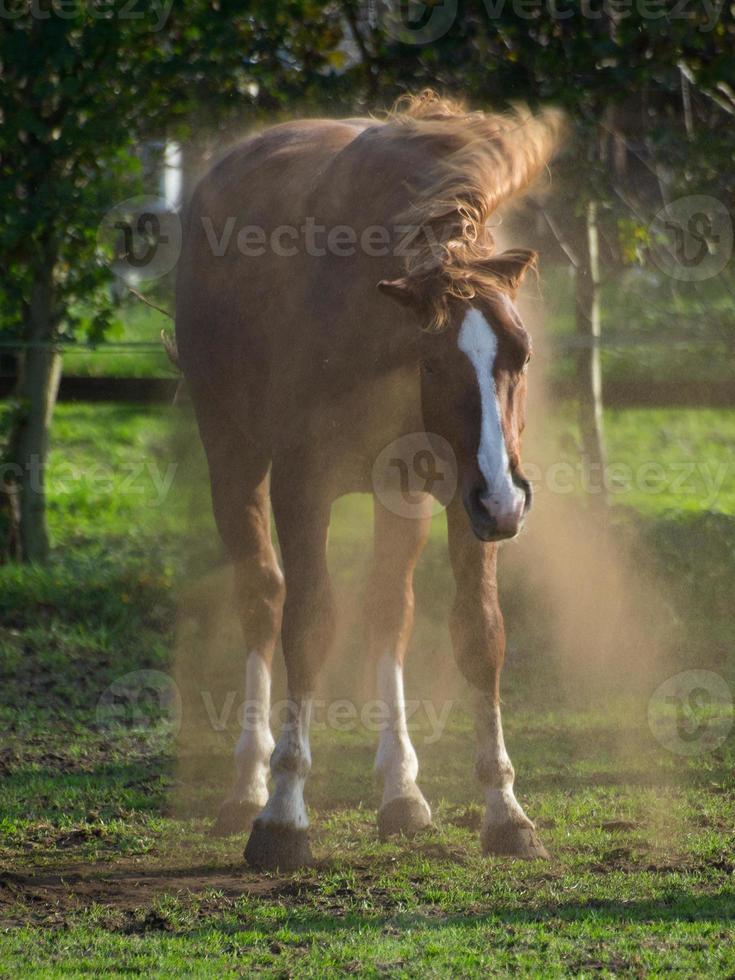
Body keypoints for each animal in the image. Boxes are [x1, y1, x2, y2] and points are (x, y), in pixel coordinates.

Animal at [174, 92, 564, 872]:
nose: (507, 500)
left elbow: (478, 632)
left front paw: (504, 809)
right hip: (232, 456)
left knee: (389, 609)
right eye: (435, 361)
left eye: (521, 353)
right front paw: (283, 811)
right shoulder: (301, 487)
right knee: (261, 596)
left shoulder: (461, 500)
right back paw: (246, 785)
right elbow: (308, 625)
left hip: (407, 498)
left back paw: (400, 791)